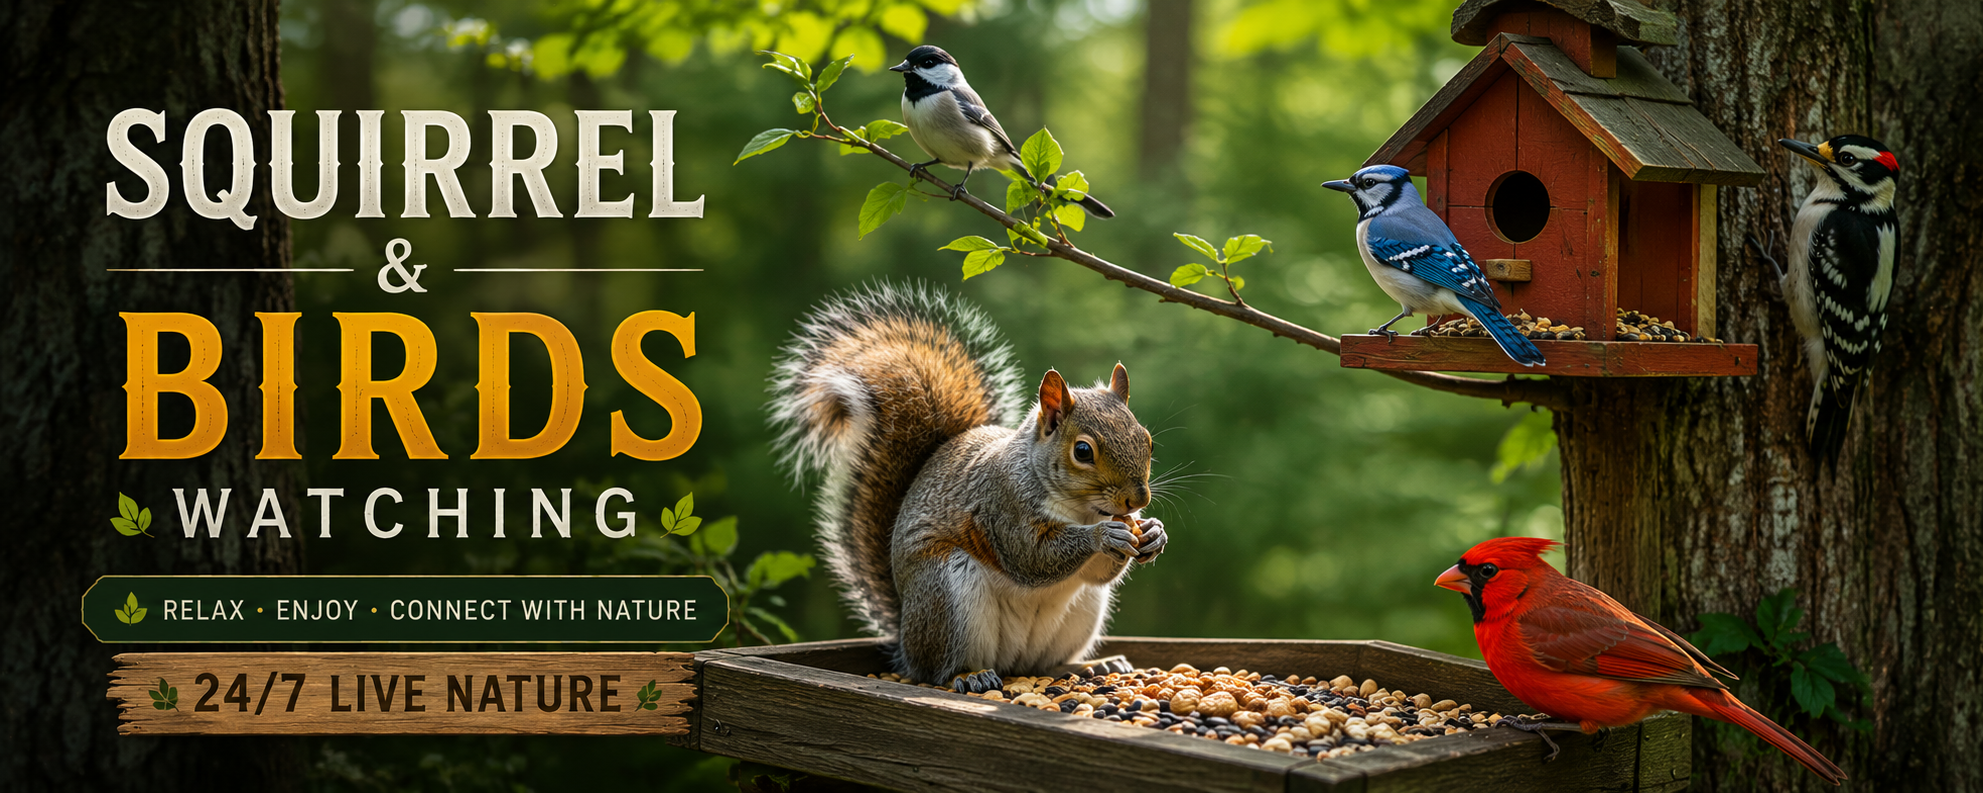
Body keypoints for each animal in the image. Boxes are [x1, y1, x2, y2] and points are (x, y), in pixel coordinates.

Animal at [768, 283, 1167, 692]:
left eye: (1148, 441)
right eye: (1083, 451)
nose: (1138, 499)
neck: (1082, 510)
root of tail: (905, 639)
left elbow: (1096, 572)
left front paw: (1154, 532)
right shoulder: (1002, 507)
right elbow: (1032, 556)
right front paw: (1103, 536)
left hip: (1081, 611)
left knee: (1045, 664)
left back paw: (1090, 665)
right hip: (945, 592)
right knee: (938, 671)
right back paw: (969, 675)